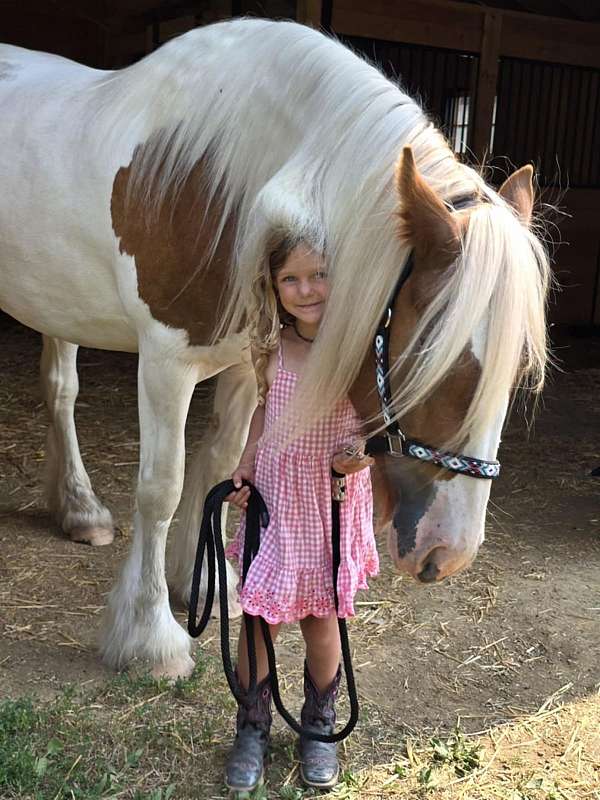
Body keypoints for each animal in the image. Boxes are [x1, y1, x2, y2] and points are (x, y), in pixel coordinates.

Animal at [0, 18, 548, 680]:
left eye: (518, 370)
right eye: (430, 357)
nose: (449, 551)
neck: (226, 180)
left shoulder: (243, 363)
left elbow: (221, 463)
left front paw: (205, 585)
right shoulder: (166, 361)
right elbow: (162, 487)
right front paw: (152, 638)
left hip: (58, 302)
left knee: (60, 389)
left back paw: (80, 511)